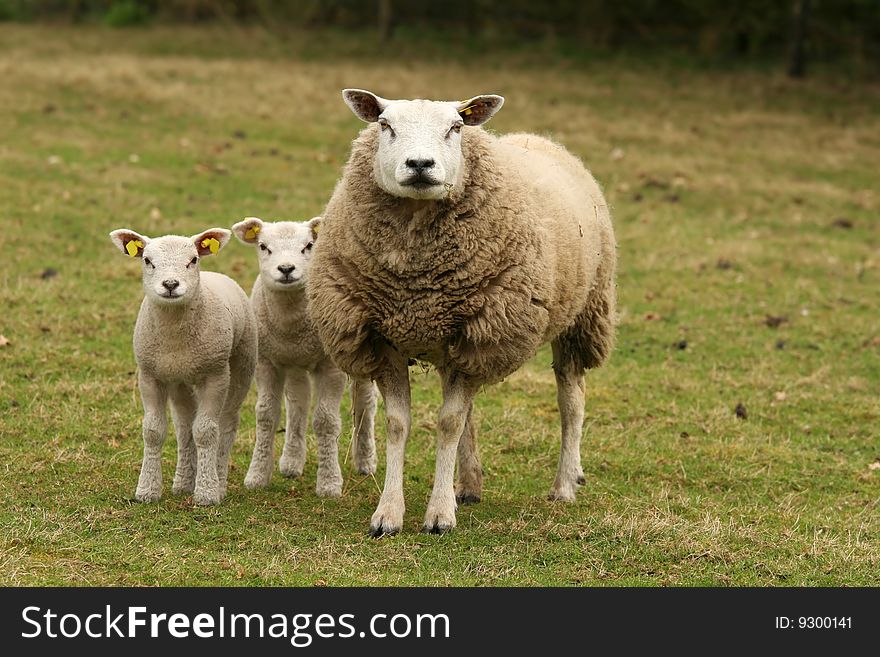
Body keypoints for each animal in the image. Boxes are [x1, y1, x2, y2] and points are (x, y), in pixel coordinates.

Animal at [108, 228, 256, 504]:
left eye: (193, 260)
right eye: (147, 260)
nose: (170, 285)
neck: (174, 337)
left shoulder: (215, 374)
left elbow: (206, 432)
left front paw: (207, 493)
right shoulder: (149, 375)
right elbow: (153, 431)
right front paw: (147, 490)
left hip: (242, 365)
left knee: (227, 423)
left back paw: (218, 481)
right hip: (181, 380)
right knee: (185, 426)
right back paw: (184, 482)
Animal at [229, 215, 376, 498]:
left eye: (308, 246)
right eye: (263, 246)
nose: (286, 269)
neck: (292, 325)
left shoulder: (331, 367)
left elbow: (326, 421)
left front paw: (329, 483)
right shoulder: (266, 363)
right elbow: (266, 415)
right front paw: (257, 475)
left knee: (365, 402)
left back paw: (365, 461)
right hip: (294, 363)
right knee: (298, 402)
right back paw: (291, 463)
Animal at [310, 89, 620, 536]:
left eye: (455, 127)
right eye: (385, 125)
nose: (420, 165)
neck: (416, 278)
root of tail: (538, 138)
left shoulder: (480, 333)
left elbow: (449, 423)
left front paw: (439, 515)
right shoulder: (383, 339)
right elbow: (401, 423)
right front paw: (389, 513)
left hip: (581, 316)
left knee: (571, 400)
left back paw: (565, 484)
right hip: (454, 343)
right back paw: (469, 484)